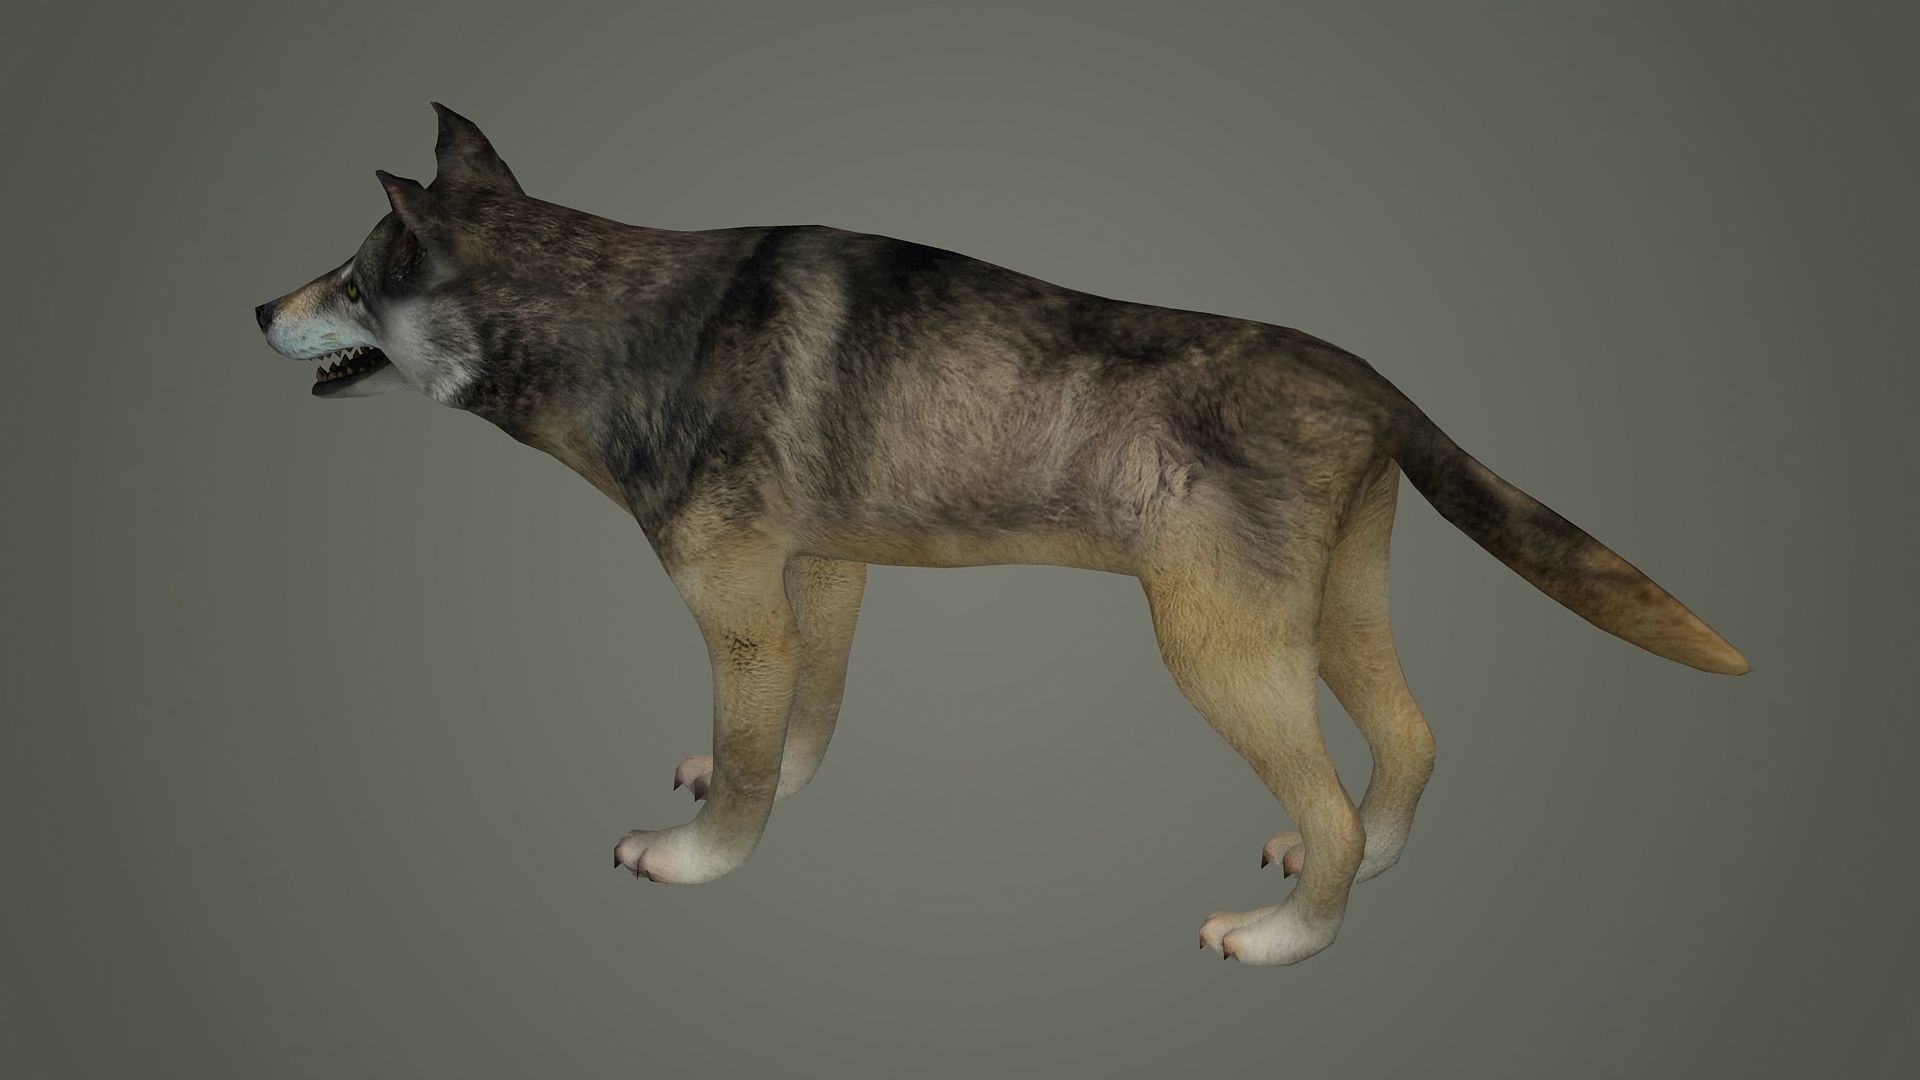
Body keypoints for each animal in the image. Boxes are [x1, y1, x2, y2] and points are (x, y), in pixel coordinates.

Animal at [253, 104, 1748, 966]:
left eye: (354, 278)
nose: (259, 307)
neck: (613, 315)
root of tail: (1371, 378)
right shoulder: (822, 576)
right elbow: (801, 726)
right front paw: (772, 790)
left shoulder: (738, 608)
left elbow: (747, 766)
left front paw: (699, 860)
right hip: (1327, 615)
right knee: (1415, 741)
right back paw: (1374, 864)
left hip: (1217, 652)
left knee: (1326, 799)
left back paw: (1288, 939)